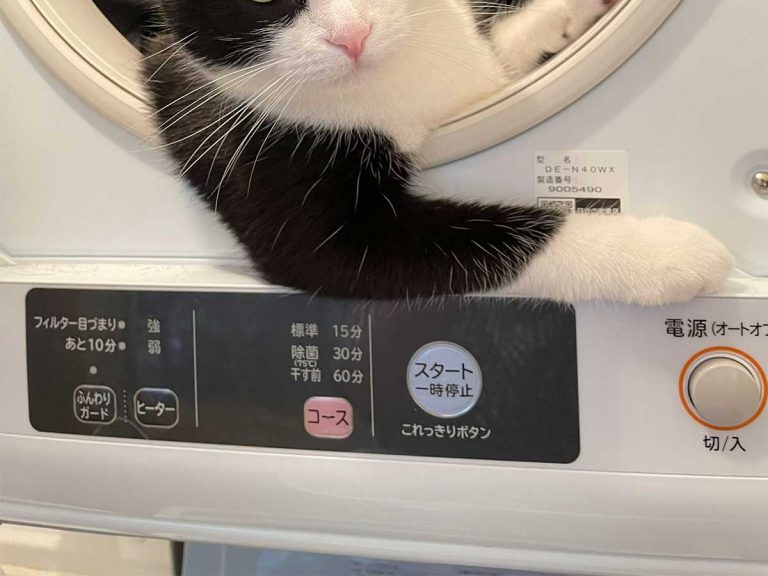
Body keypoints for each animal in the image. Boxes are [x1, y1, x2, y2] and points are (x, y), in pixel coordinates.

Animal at [142, 0, 732, 304]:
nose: (352, 34)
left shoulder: (474, 75)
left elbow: (499, 59)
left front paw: (569, 14)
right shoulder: (254, 150)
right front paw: (662, 254)